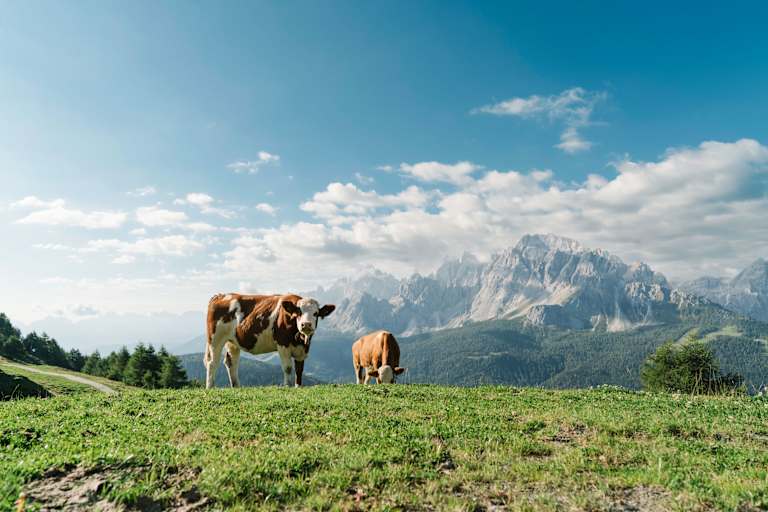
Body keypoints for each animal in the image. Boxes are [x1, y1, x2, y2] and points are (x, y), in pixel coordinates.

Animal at [205, 293, 335, 388]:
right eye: (299, 312)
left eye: (316, 313)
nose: (306, 324)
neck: (300, 340)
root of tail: (221, 295)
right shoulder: (282, 344)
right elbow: (288, 367)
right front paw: (287, 386)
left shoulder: (303, 350)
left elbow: (299, 369)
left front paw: (298, 386)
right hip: (215, 338)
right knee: (212, 363)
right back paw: (210, 387)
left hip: (232, 341)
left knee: (231, 362)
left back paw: (236, 386)